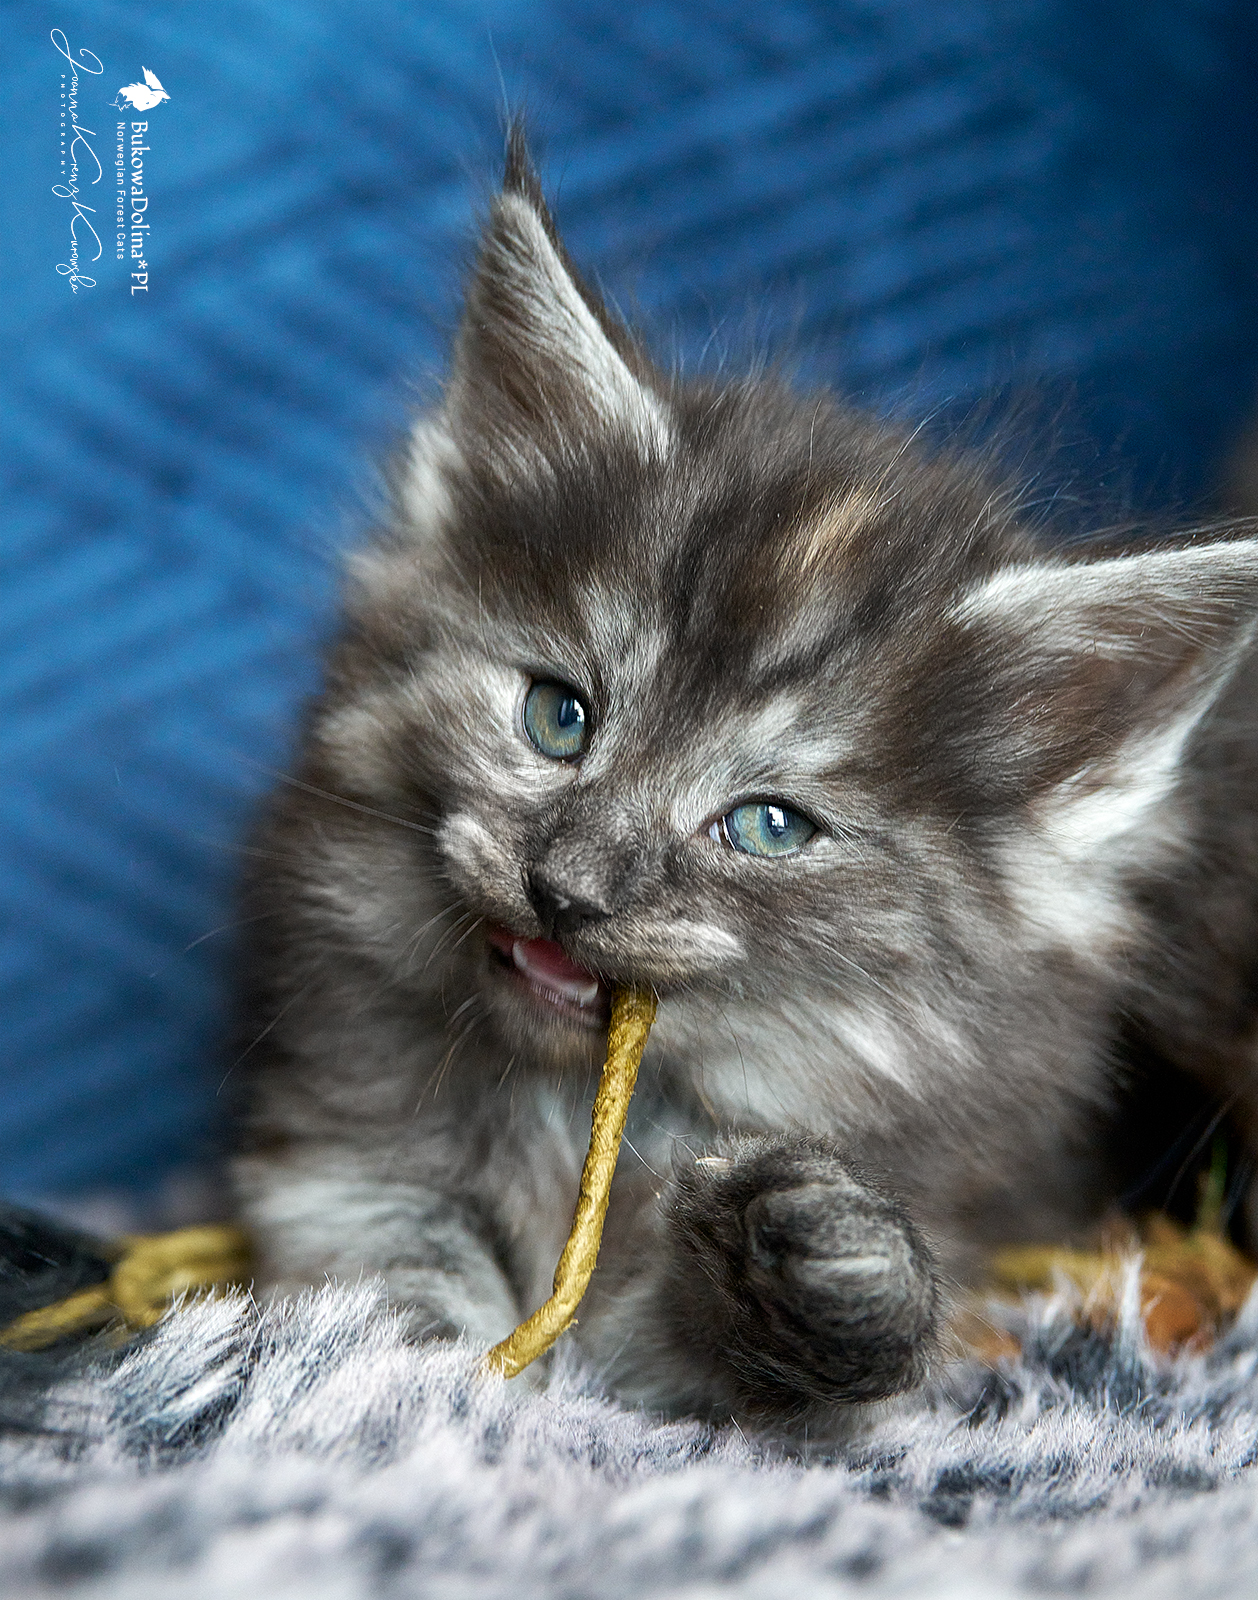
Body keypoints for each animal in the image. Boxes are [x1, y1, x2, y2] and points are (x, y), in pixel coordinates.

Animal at [233, 129, 1258, 1435]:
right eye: (558, 717)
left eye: (768, 825)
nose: (566, 887)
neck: (575, 1112)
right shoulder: (342, 1155)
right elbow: (387, 1290)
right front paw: (423, 1397)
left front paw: (826, 1259)